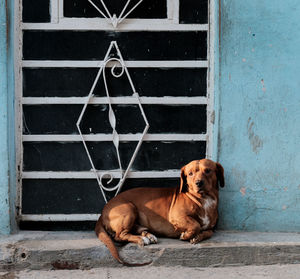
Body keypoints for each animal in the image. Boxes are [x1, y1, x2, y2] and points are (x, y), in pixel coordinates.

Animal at [95, 159, 224, 266]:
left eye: (208, 171)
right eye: (190, 173)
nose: (198, 183)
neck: (203, 199)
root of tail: (102, 212)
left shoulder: (211, 228)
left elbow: (208, 232)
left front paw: (197, 237)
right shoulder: (177, 217)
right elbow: (195, 224)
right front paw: (187, 235)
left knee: (134, 230)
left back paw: (148, 235)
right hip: (129, 208)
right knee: (119, 236)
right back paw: (141, 239)